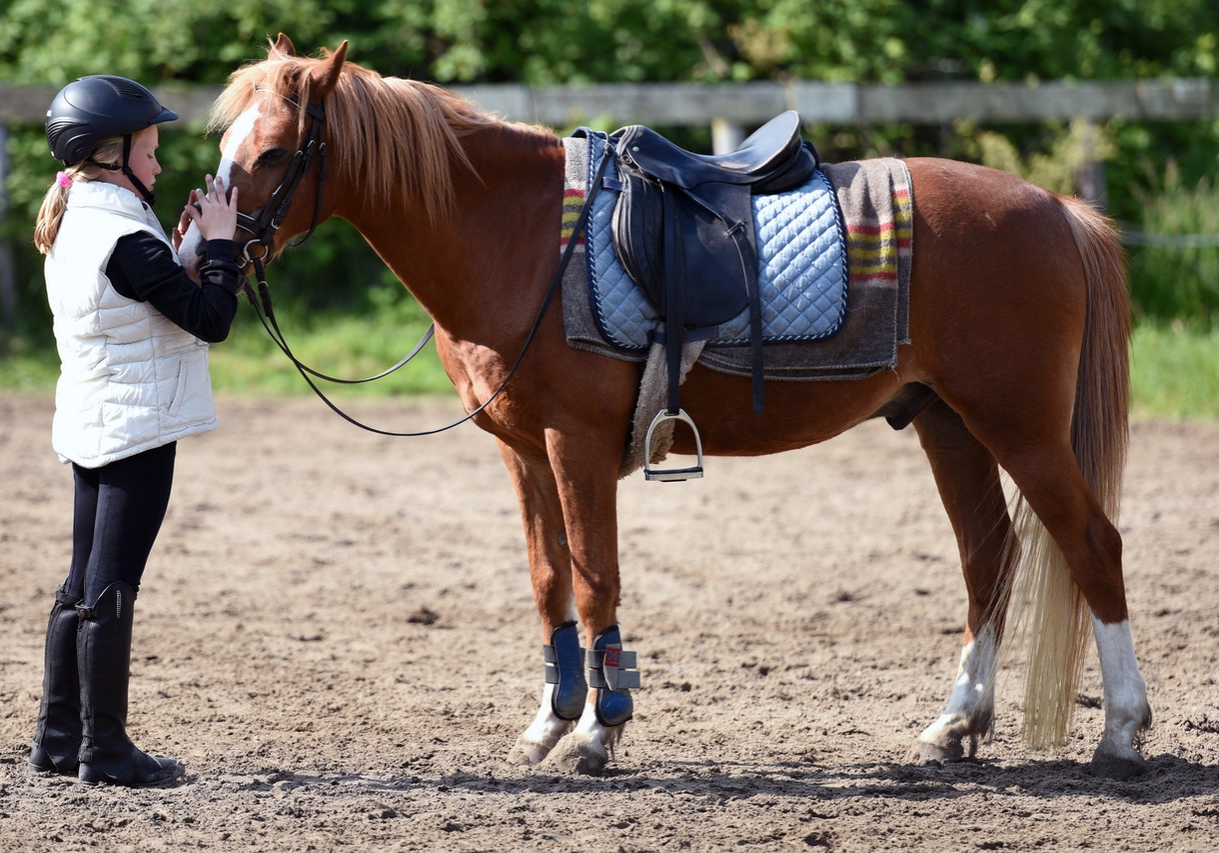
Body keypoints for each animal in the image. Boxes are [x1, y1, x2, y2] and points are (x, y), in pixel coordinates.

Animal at [189, 34, 1151, 779]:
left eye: (272, 153)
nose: (202, 252)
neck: (516, 235)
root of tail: (1055, 207)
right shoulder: (521, 451)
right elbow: (547, 579)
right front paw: (550, 719)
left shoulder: (573, 444)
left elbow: (594, 576)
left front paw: (597, 728)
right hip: (948, 423)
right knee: (988, 558)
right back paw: (955, 724)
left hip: (1020, 427)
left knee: (1091, 545)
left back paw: (1121, 732)